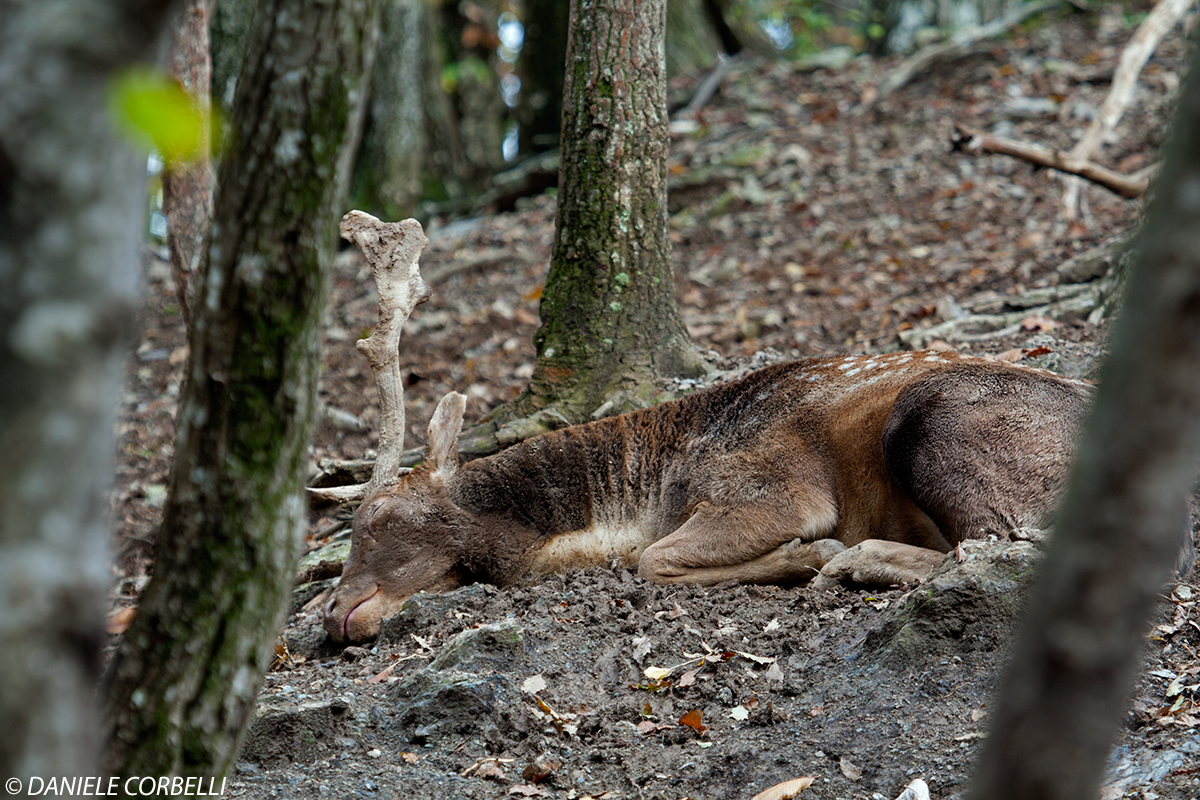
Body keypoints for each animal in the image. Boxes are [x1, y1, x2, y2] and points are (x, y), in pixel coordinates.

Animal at [319, 350, 1089, 642]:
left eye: (377, 519)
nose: (332, 612)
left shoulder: (778, 491)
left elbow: (650, 561)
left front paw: (808, 557)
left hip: (930, 422)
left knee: (999, 539)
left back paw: (853, 561)